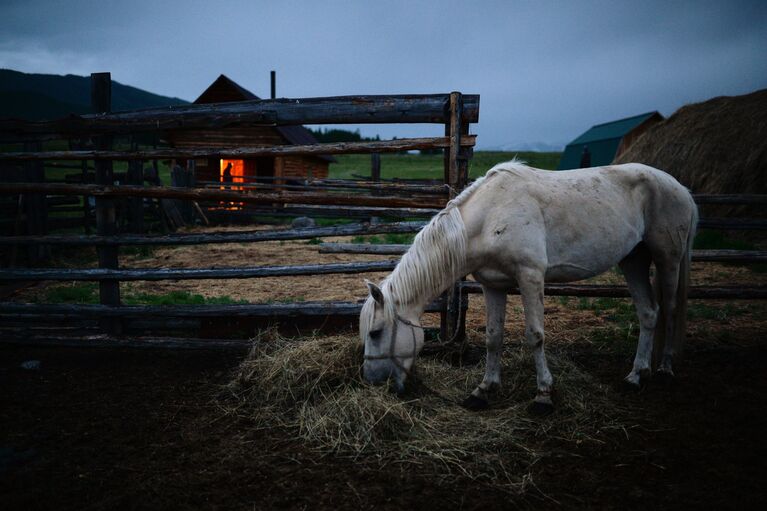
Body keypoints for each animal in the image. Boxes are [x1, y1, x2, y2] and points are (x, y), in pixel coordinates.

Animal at [364, 162, 700, 414]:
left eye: (376, 333)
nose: (372, 381)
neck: (488, 218)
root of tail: (680, 188)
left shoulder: (531, 277)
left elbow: (535, 336)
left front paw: (543, 395)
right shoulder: (492, 285)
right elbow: (493, 337)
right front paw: (483, 391)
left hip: (667, 258)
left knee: (669, 310)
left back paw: (665, 371)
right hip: (633, 260)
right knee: (648, 313)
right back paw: (635, 376)